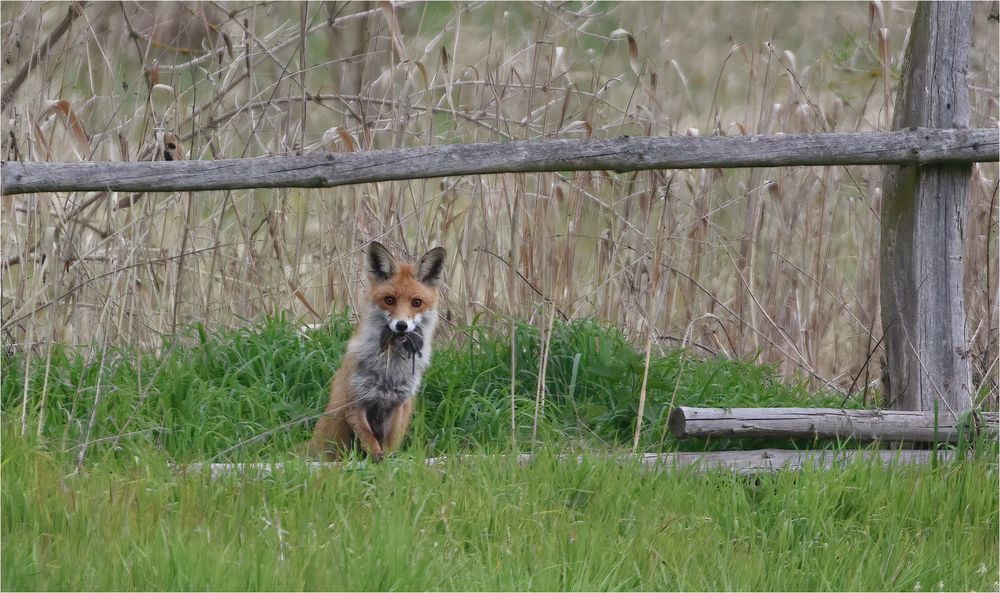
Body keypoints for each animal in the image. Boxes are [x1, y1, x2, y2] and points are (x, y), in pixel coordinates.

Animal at [304, 242, 446, 462]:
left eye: (416, 303)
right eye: (389, 300)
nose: (401, 325)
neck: (390, 369)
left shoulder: (398, 404)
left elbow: (390, 441)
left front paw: (387, 460)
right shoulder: (356, 399)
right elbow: (367, 435)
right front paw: (375, 455)